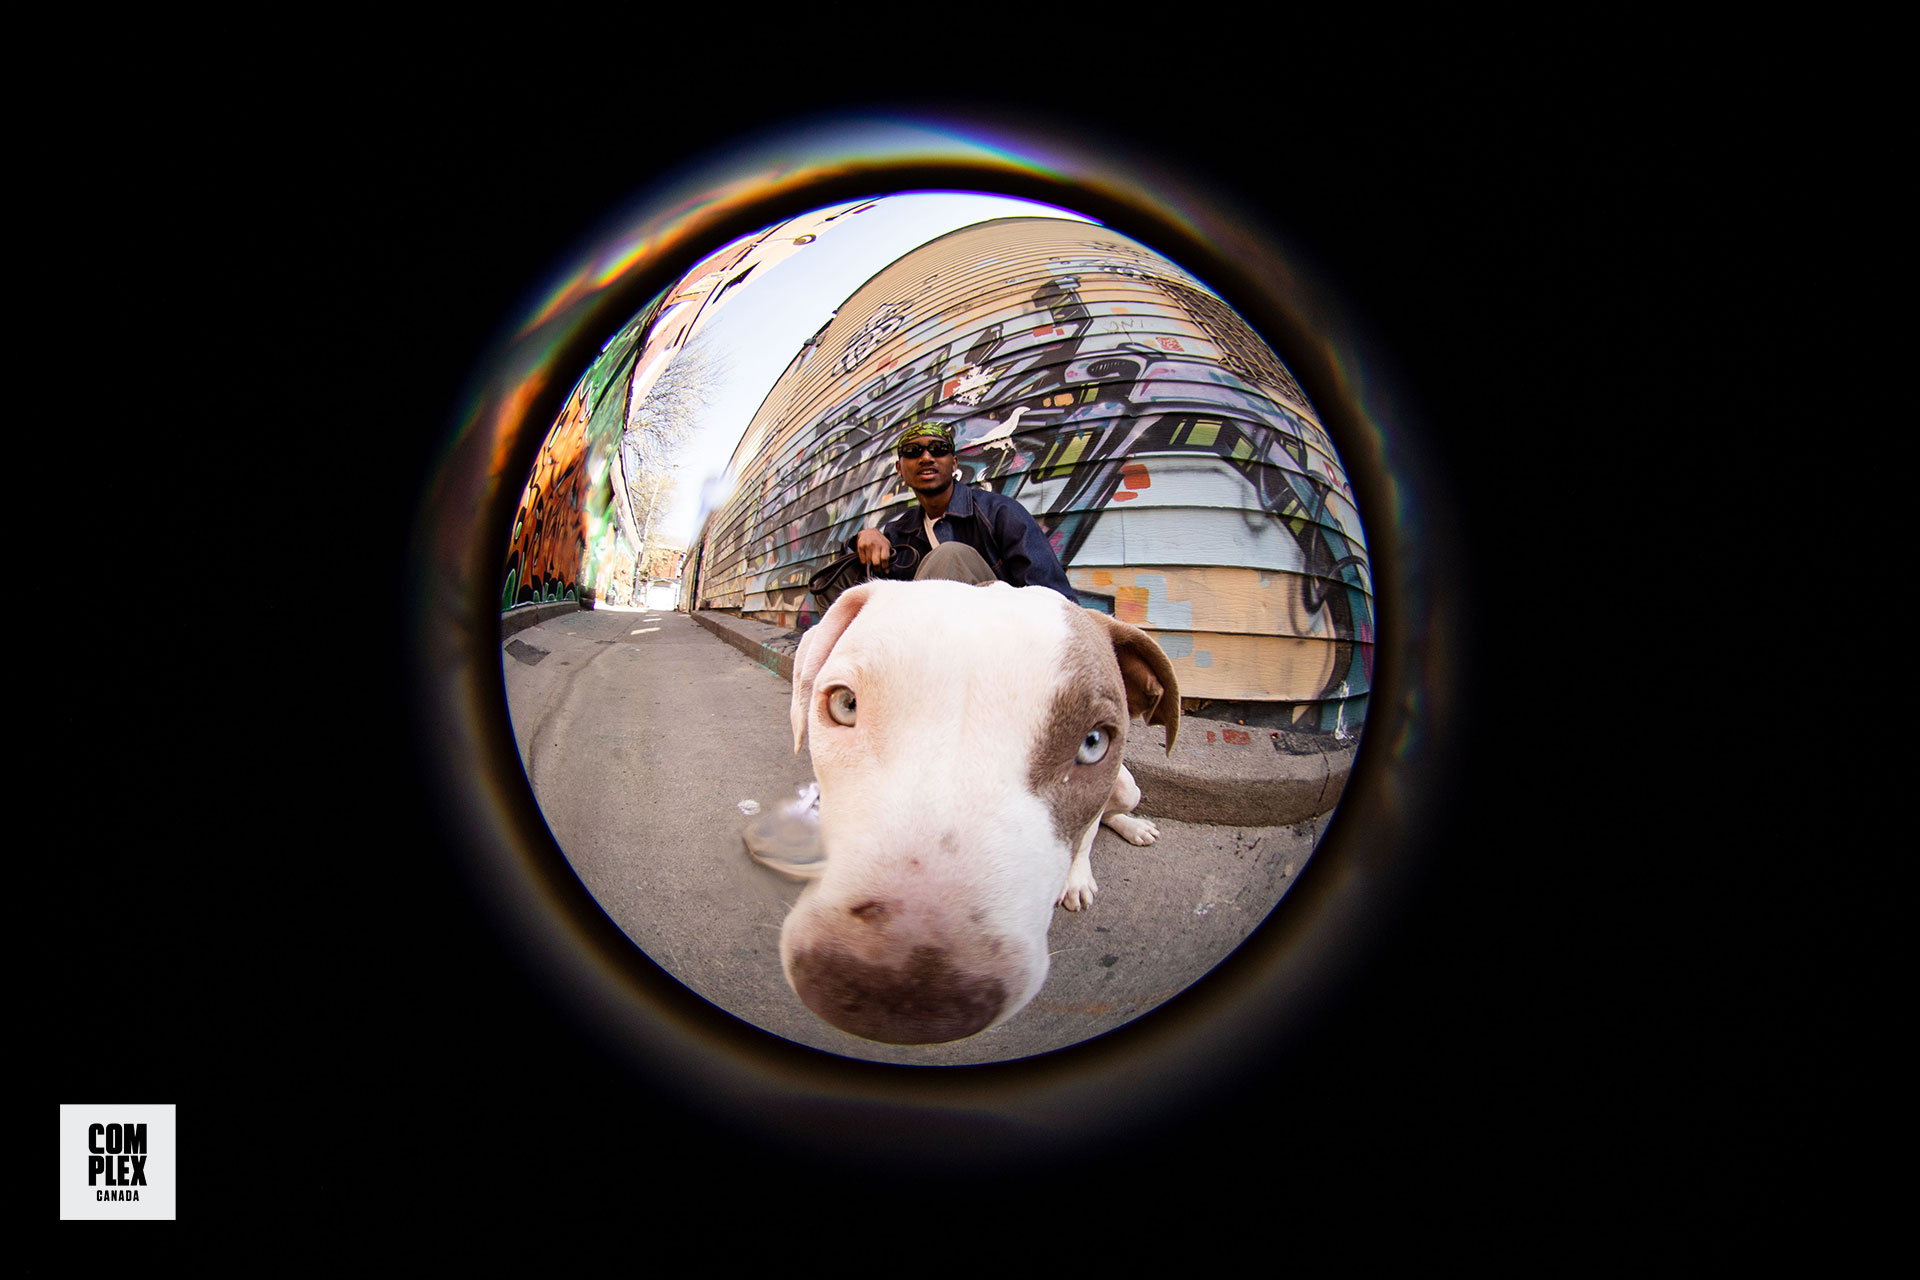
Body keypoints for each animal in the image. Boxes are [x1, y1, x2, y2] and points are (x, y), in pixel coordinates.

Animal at [775, 579, 1167, 1043]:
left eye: (1093, 742)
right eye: (845, 704)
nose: (901, 992)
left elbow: (1085, 834)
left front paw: (1077, 878)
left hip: (1127, 786)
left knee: (1106, 815)